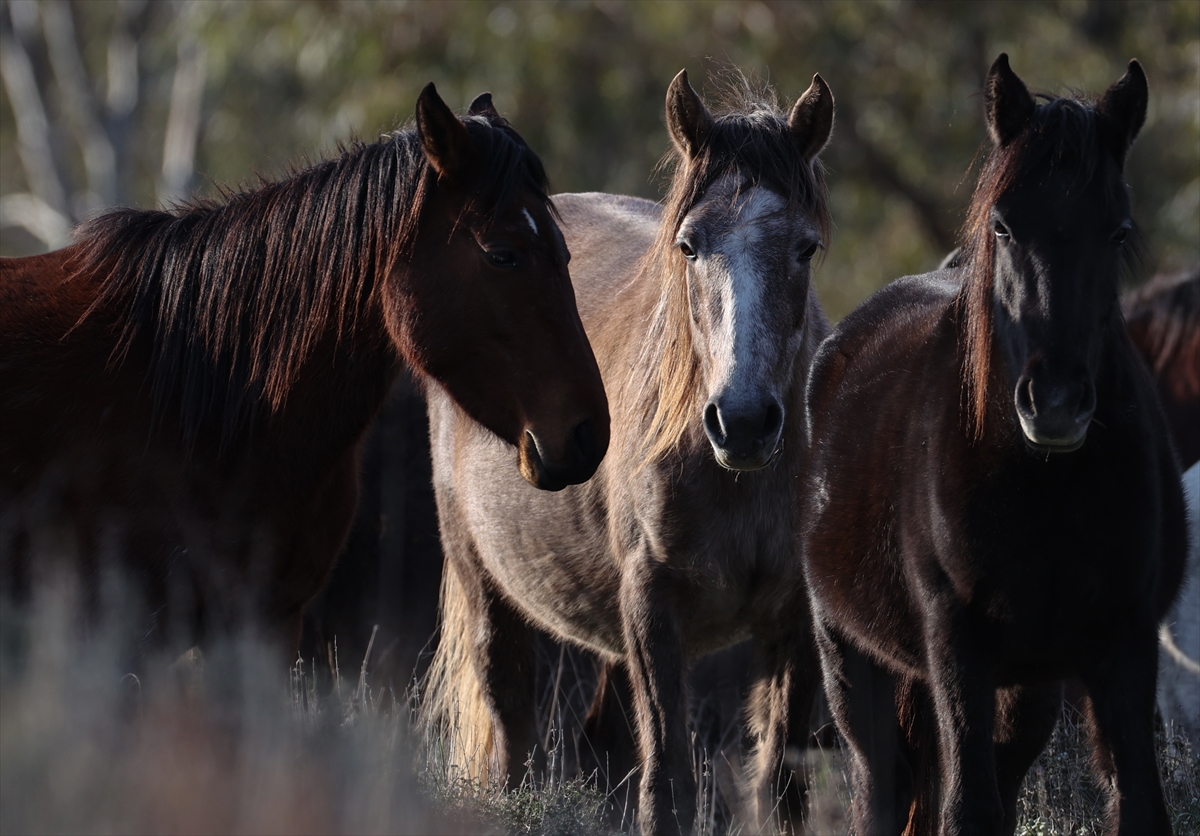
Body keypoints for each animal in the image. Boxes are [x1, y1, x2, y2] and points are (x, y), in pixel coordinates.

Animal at [424, 71, 835, 834]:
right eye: (689, 245)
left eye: (805, 248)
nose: (742, 422)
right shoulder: (652, 612)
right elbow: (667, 785)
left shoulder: (793, 624)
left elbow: (780, 790)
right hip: (487, 585)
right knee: (512, 738)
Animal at [801, 53, 1185, 834]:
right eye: (1004, 227)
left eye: (1118, 232)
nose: (1057, 403)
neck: (1047, 488)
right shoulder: (958, 649)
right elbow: (965, 808)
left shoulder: (1125, 648)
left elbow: (1135, 803)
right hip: (857, 667)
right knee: (885, 792)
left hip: (1027, 693)